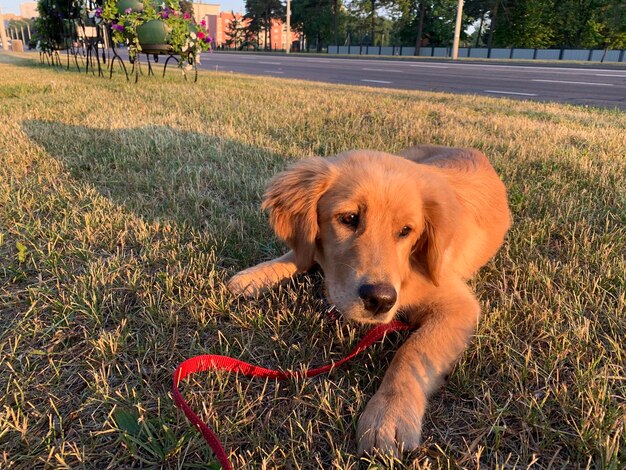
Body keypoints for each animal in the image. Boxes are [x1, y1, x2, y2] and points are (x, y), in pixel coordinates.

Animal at [227, 144, 510, 456]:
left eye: (406, 231)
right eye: (349, 218)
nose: (380, 300)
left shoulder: (458, 305)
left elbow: (412, 352)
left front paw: (388, 414)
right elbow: (302, 254)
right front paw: (256, 275)